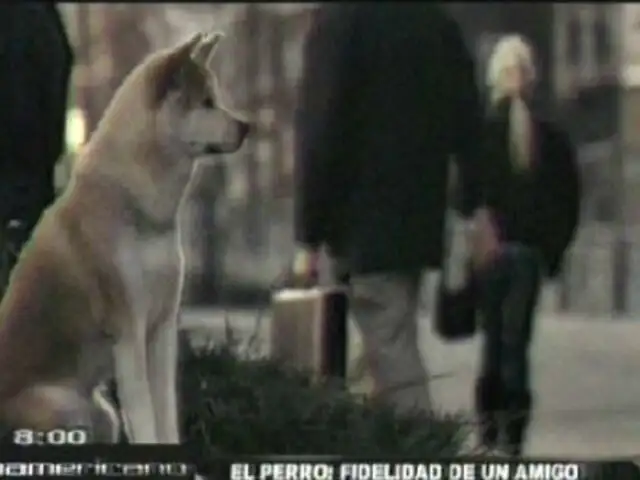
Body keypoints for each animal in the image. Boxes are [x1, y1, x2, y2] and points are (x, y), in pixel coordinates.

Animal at [0, 30, 249, 444]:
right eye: (206, 103)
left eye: (217, 99)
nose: (247, 126)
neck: (142, 205)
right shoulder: (128, 329)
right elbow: (145, 416)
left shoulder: (162, 327)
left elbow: (165, 414)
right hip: (63, 405)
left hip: (104, 415)